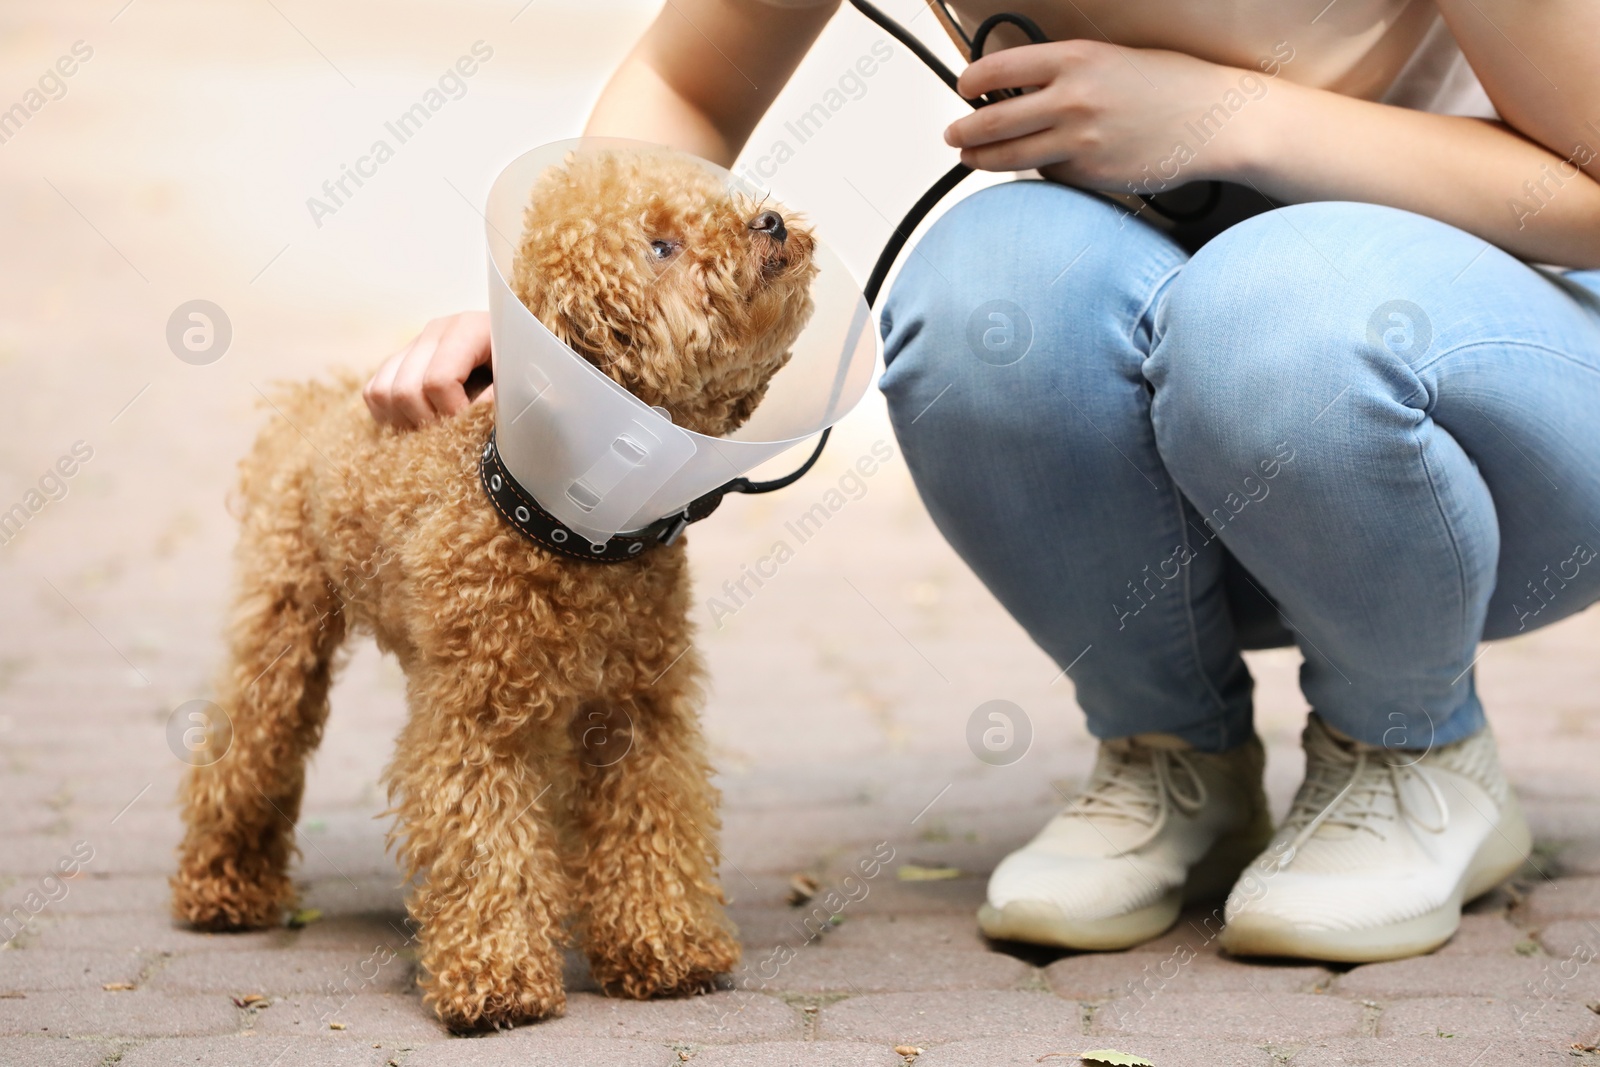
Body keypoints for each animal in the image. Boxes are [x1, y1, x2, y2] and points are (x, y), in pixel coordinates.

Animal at [175, 146, 819, 1030]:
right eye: (660, 246)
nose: (772, 221)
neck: (572, 528)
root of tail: (315, 406)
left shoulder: (636, 712)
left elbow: (653, 823)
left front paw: (665, 946)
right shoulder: (475, 722)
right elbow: (485, 845)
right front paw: (497, 976)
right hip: (285, 627)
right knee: (247, 748)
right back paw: (221, 888)